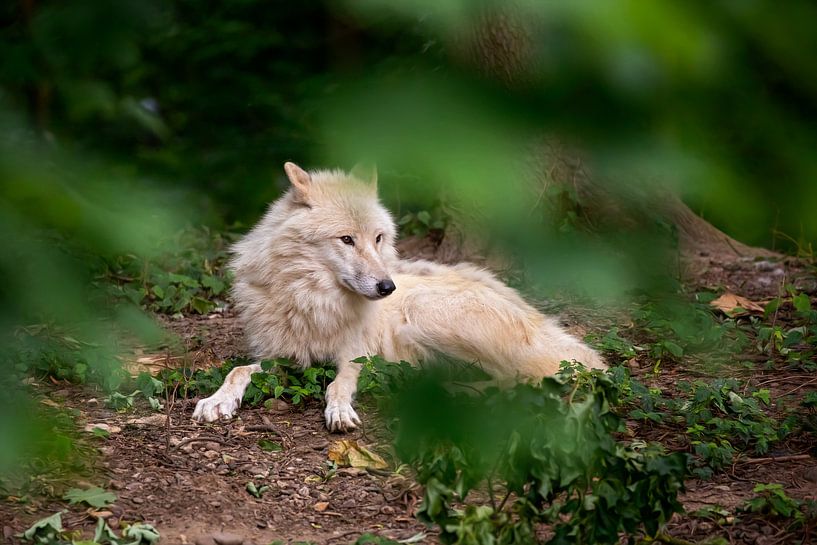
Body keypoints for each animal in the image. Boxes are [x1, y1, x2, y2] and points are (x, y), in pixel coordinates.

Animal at [192, 162, 607, 431]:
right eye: (346, 239)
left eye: (378, 238)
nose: (387, 288)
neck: (312, 298)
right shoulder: (281, 356)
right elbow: (238, 370)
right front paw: (217, 401)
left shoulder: (354, 355)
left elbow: (338, 384)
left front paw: (339, 411)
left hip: (424, 315)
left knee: (517, 379)